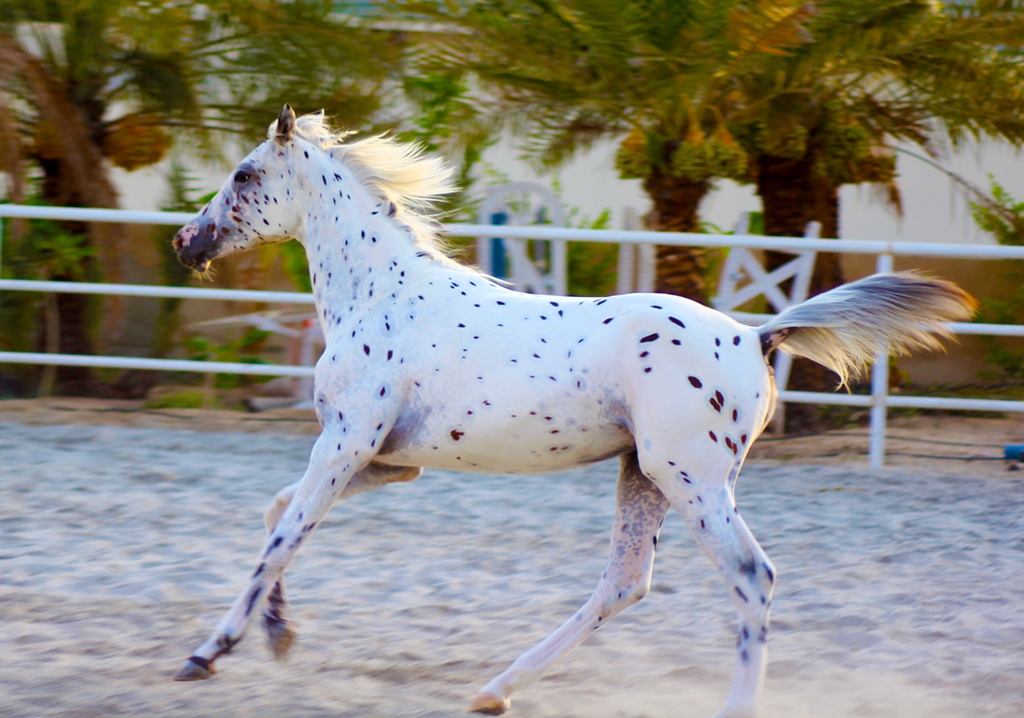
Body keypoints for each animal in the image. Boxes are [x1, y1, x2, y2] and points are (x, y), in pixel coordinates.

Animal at [170, 105, 975, 717]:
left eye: (244, 175)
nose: (186, 241)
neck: (383, 298)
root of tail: (755, 334)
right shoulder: (388, 462)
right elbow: (279, 515)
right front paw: (279, 635)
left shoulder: (344, 446)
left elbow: (281, 538)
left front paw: (209, 652)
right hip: (645, 476)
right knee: (626, 582)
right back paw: (495, 689)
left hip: (692, 481)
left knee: (751, 577)